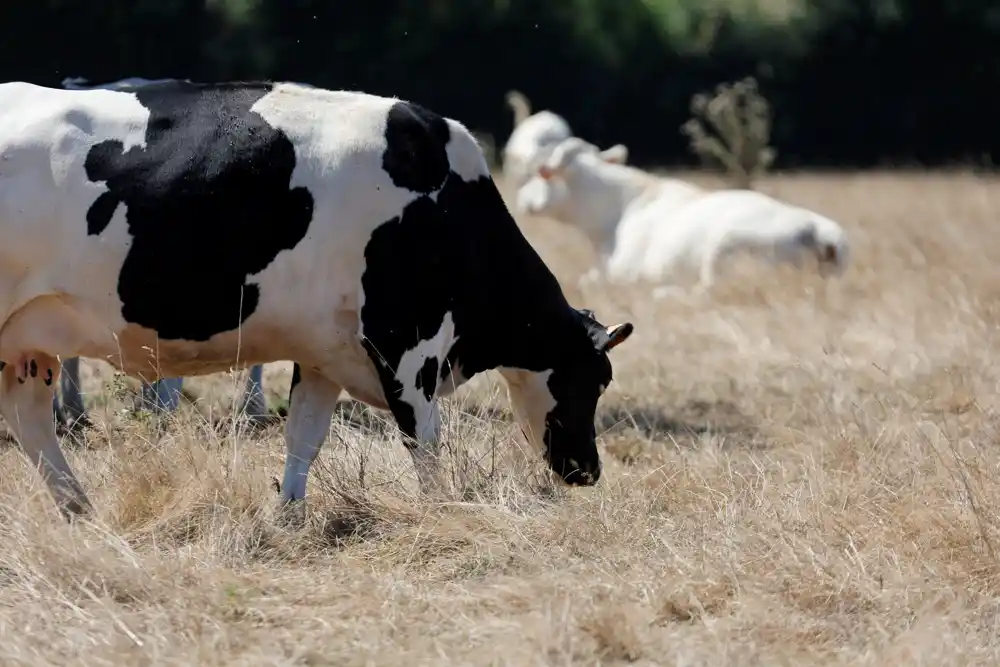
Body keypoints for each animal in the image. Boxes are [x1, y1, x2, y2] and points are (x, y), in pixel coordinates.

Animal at [516, 137, 852, 294]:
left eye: (538, 174)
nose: (521, 199)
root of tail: (817, 228)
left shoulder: (620, 273)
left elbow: (588, 281)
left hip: (725, 249)